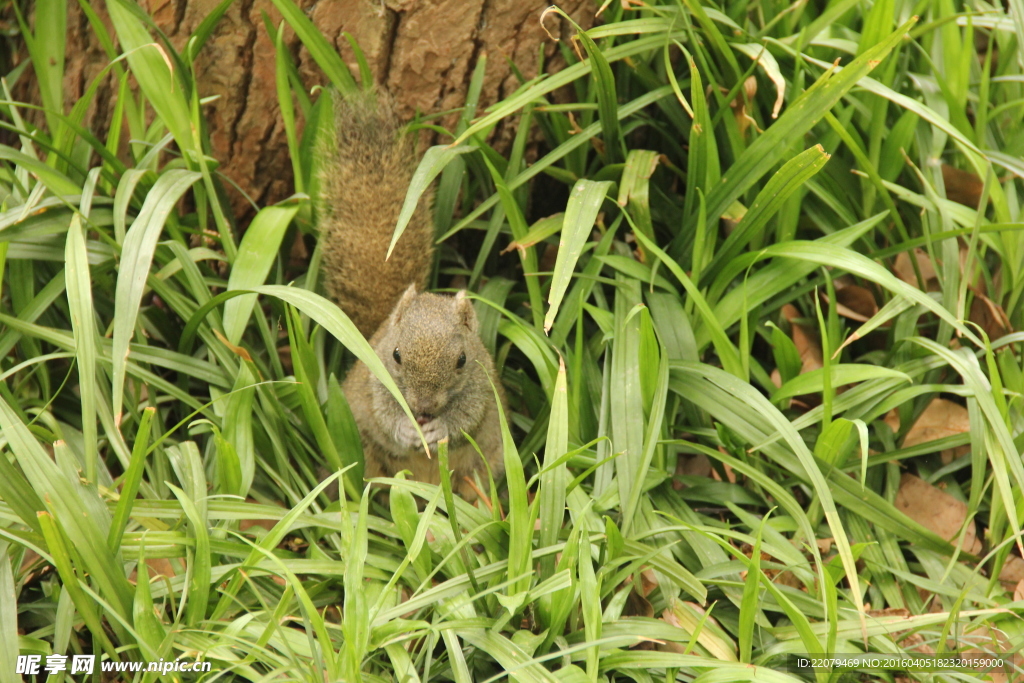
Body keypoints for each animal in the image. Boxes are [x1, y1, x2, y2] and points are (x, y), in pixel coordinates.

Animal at [317, 89, 505, 501]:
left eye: (462, 360)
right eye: (396, 355)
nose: (422, 408)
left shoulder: (481, 388)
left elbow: (468, 417)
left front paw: (439, 428)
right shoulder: (376, 380)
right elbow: (383, 411)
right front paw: (405, 428)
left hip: (485, 466)